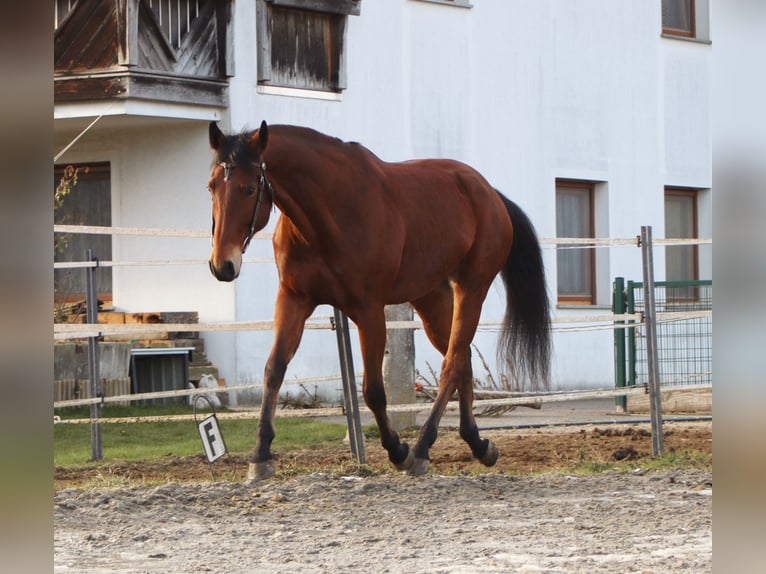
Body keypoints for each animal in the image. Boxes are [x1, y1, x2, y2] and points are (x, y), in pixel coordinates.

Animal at [207, 121, 548, 482]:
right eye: (211, 186)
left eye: (248, 189)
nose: (222, 265)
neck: (327, 213)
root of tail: (490, 194)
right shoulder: (293, 300)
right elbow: (274, 370)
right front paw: (260, 455)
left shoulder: (369, 312)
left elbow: (373, 390)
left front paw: (398, 451)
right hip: (431, 299)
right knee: (462, 359)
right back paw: (477, 443)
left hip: (471, 290)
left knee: (452, 364)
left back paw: (422, 448)